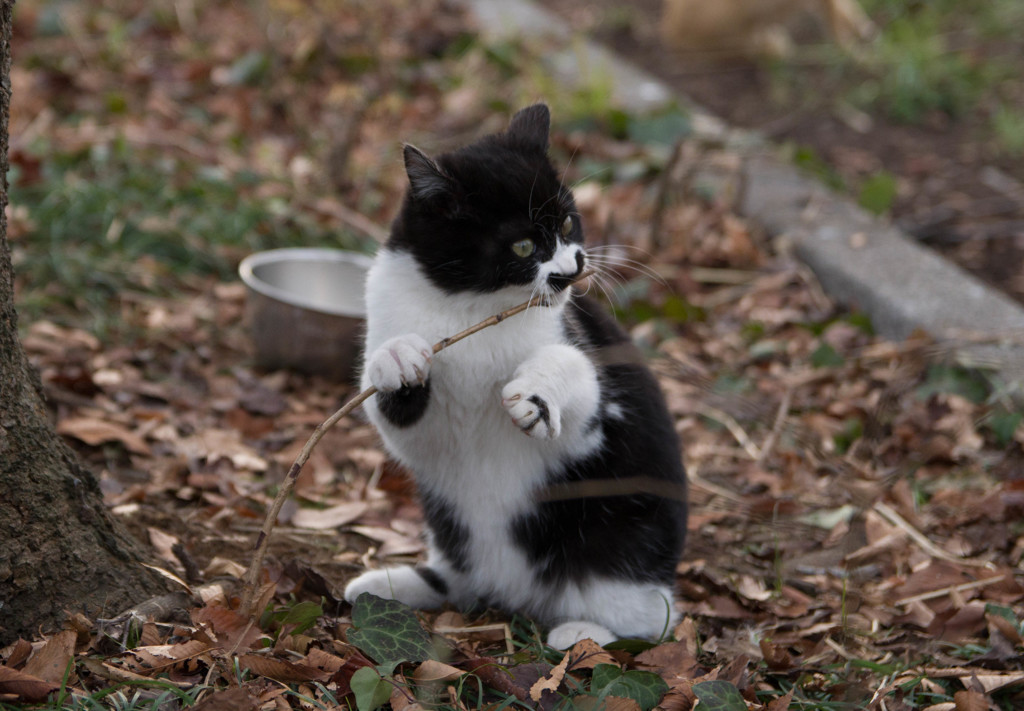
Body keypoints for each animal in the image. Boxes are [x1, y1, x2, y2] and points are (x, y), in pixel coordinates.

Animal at [344, 106, 688, 651]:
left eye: (567, 220)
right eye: (523, 245)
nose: (574, 267)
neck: (472, 307)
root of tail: (511, 596)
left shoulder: (586, 394)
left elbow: (577, 375)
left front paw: (537, 397)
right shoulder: (423, 420)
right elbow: (405, 424)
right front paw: (397, 360)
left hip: (625, 540)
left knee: (653, 619)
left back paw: (584, 633)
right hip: (449, 526)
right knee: (458, 579)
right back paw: (390, 586)